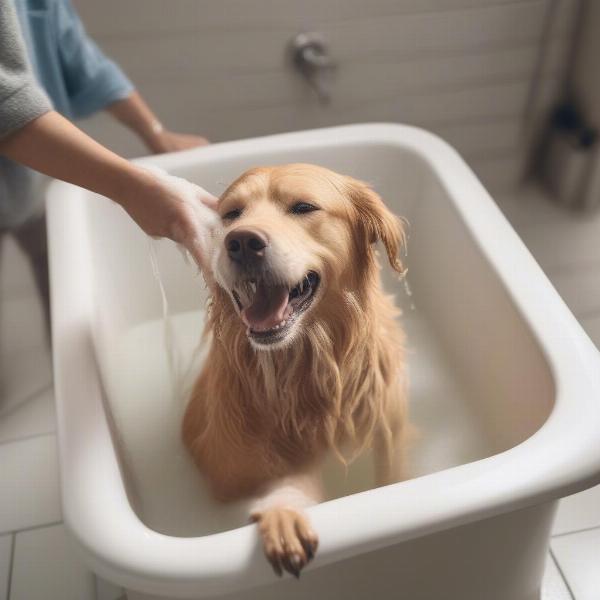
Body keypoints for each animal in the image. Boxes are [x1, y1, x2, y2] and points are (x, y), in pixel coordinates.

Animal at [182, 163, 408, 576]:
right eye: (231, 214)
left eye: (303, 207)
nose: (241, 242)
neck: (303, 365)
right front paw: (283, 516)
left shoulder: (391, 434)